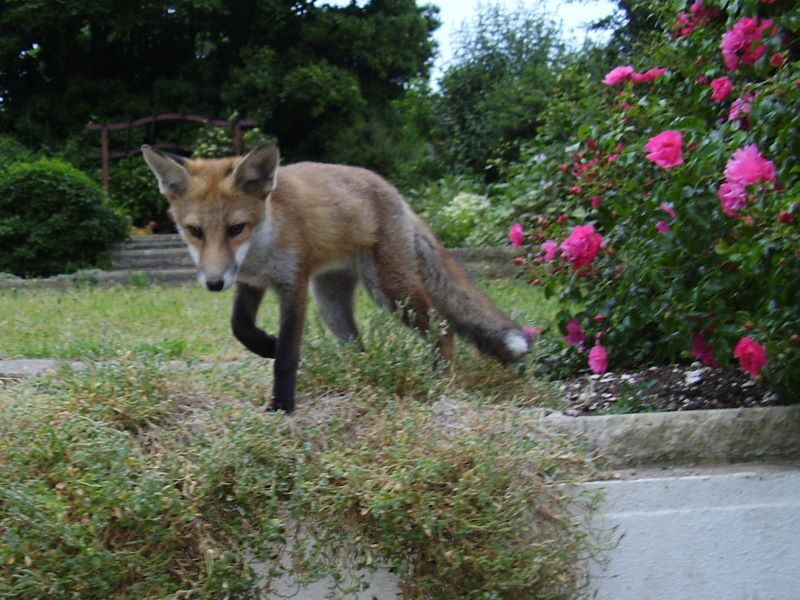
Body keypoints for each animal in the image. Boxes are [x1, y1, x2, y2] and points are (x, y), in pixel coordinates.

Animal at [142, 144, 532, 412]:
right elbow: (241, 328)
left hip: (390, 291)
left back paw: (439, 380)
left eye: (236, 228)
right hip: (331, 303)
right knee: (359, 347)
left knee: (444, 327)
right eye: (195, 231)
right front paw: (266, 344)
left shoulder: (293, 284)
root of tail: (396, 195)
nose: (213, 283)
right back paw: (356, 377)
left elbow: (288, 356)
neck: (260, 248)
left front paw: (282, 404)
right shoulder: (251, 282)